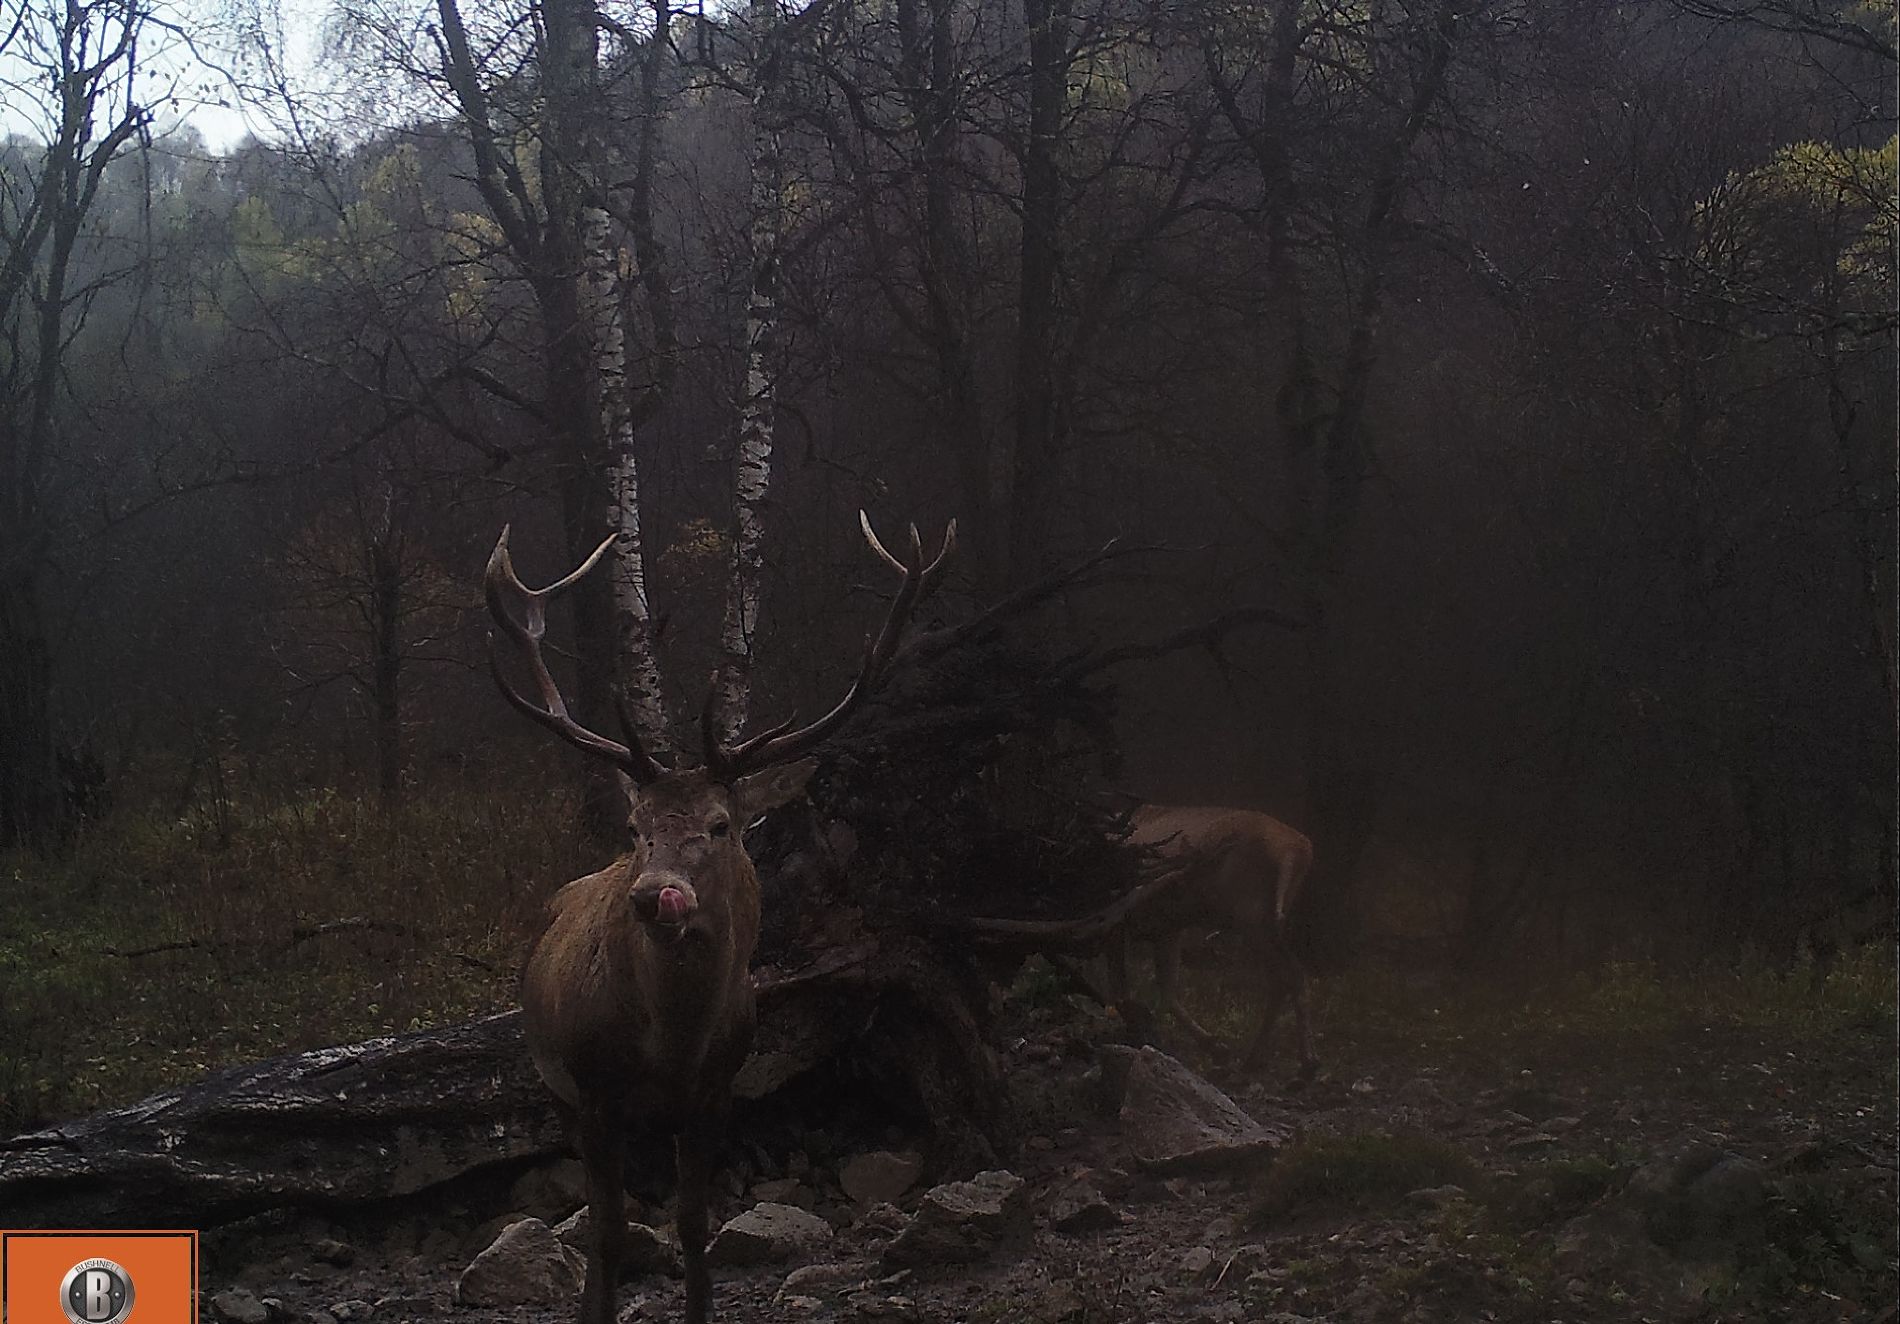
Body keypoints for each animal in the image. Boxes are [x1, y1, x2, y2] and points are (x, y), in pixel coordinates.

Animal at [484, 512, 954, 1324]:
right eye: (636, 827)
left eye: (720, 824)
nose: (653, 894)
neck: (671, 1043)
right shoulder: (594, 1089)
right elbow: (607, 1229)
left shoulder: (716, 1089)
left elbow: (694, 1222)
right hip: (555, 1086)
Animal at [1102, 804, 1318, 1078]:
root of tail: (1297, 850)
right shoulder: (1167, 928)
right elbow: (1166, 989)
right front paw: (1215, 1047)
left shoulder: (1117, 921)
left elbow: (1123, 990)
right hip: (1268, 920)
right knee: (1285, 978)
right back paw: (1256, 1061)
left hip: (1251, 917)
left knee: (1289, 974)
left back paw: (1305, 1064)